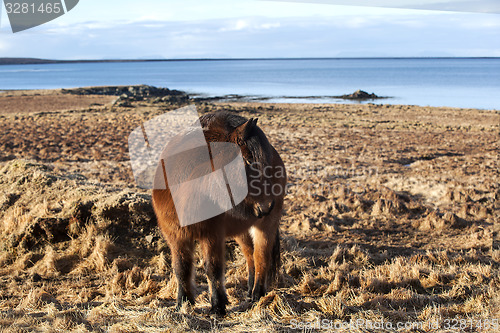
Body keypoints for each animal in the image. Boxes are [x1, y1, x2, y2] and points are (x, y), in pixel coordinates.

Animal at [151, 111, 286, 314]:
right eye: (248, 160)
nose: (267, 206)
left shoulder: (212, 233)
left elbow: (213, 268)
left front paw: (217, 305)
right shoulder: (175, 234)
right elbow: (181, 267)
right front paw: (183, 302)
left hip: (265, 226)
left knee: (261, 256)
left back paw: (257, 295)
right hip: (243, 230)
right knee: (250, 256)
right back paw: (249, 291)